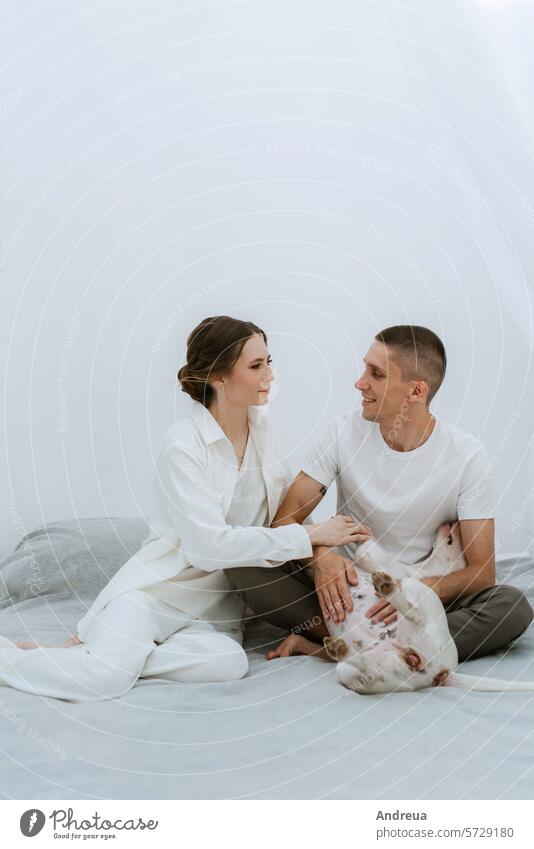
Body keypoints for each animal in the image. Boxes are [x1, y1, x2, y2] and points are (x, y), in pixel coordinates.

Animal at [324, 524, 534, 696]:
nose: (454, 522)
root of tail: (442, 672)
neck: (432, 568)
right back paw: (339, 649)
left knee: (415, 614)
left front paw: (356, 531)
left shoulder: (380, 561)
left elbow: (364, 549)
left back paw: (387, 588)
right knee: (366, 667)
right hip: (360, 672)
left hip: (414, 588)